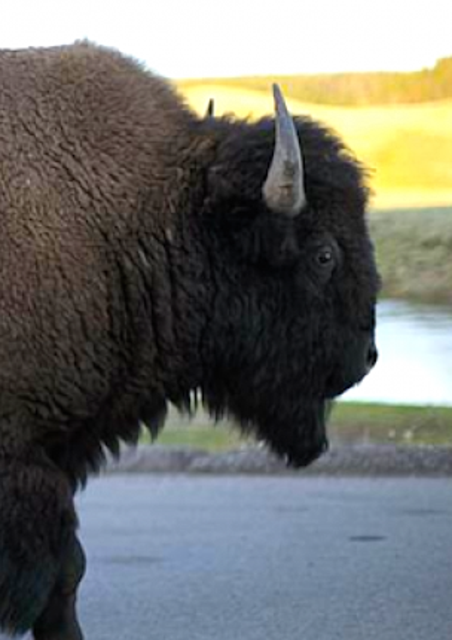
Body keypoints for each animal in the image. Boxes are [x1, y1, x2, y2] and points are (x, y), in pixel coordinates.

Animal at [0, 42, 380, 636]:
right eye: (324, 254)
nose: (366, 357)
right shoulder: (22, 462)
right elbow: (60, 572)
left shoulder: (56, 454)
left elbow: (68, 572)